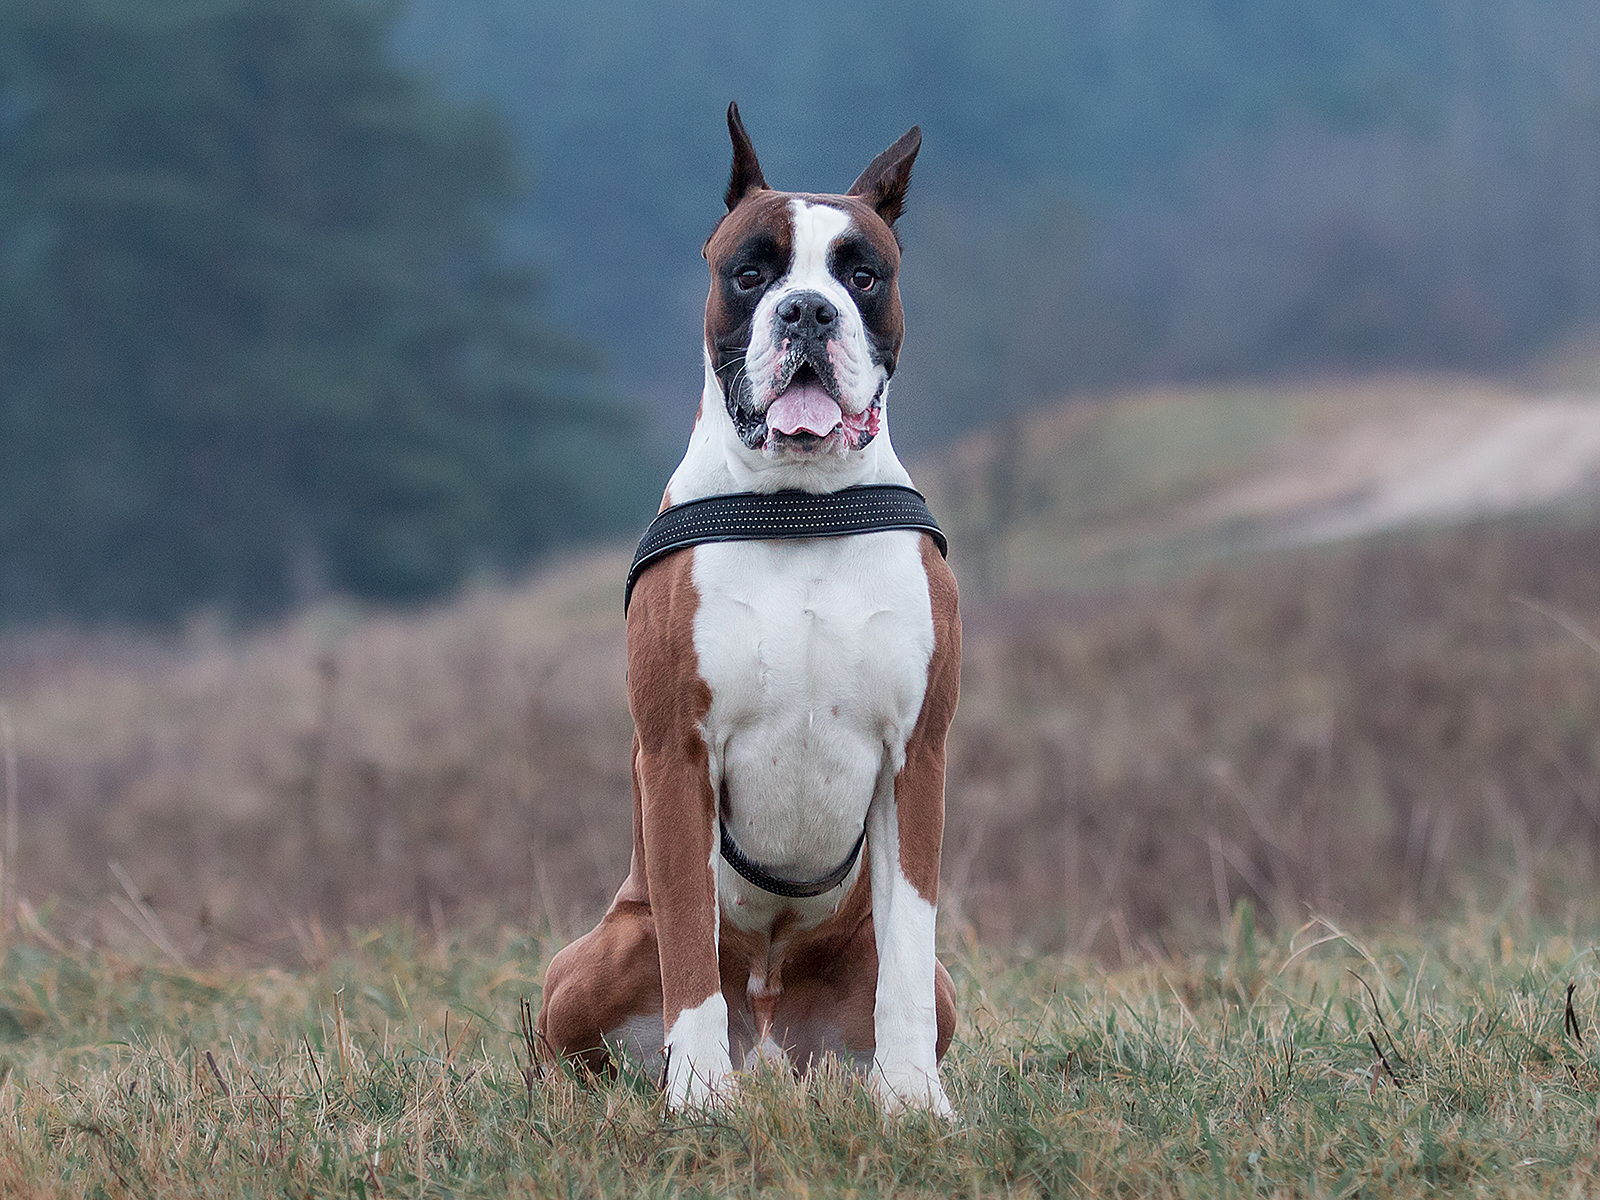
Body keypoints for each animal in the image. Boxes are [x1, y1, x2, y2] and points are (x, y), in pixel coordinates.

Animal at [537, 103, 960, 1120]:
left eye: (861, 274)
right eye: (752, 272)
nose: (807, 309)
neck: (796, 506)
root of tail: (770, 1035)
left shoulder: (917, 756)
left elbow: (909, 942)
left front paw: (913, 1103)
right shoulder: (677, 754)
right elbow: (692, 943)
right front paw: (698, 1100)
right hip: (595, 958)